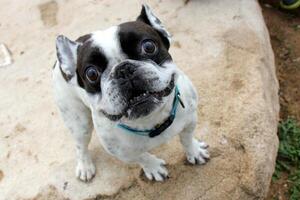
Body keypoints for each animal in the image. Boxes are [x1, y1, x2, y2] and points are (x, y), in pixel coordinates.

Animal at [52, 4, 209, 183]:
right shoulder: (122, 152)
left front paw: (194, 151)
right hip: (78, 121)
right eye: (91, 73)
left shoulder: (190, 120)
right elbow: (141, 157)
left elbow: (186, 138)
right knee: (80, 145)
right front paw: (154, 168)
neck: (151, 121)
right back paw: (85, 166)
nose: (123, 69)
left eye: (149, 47)